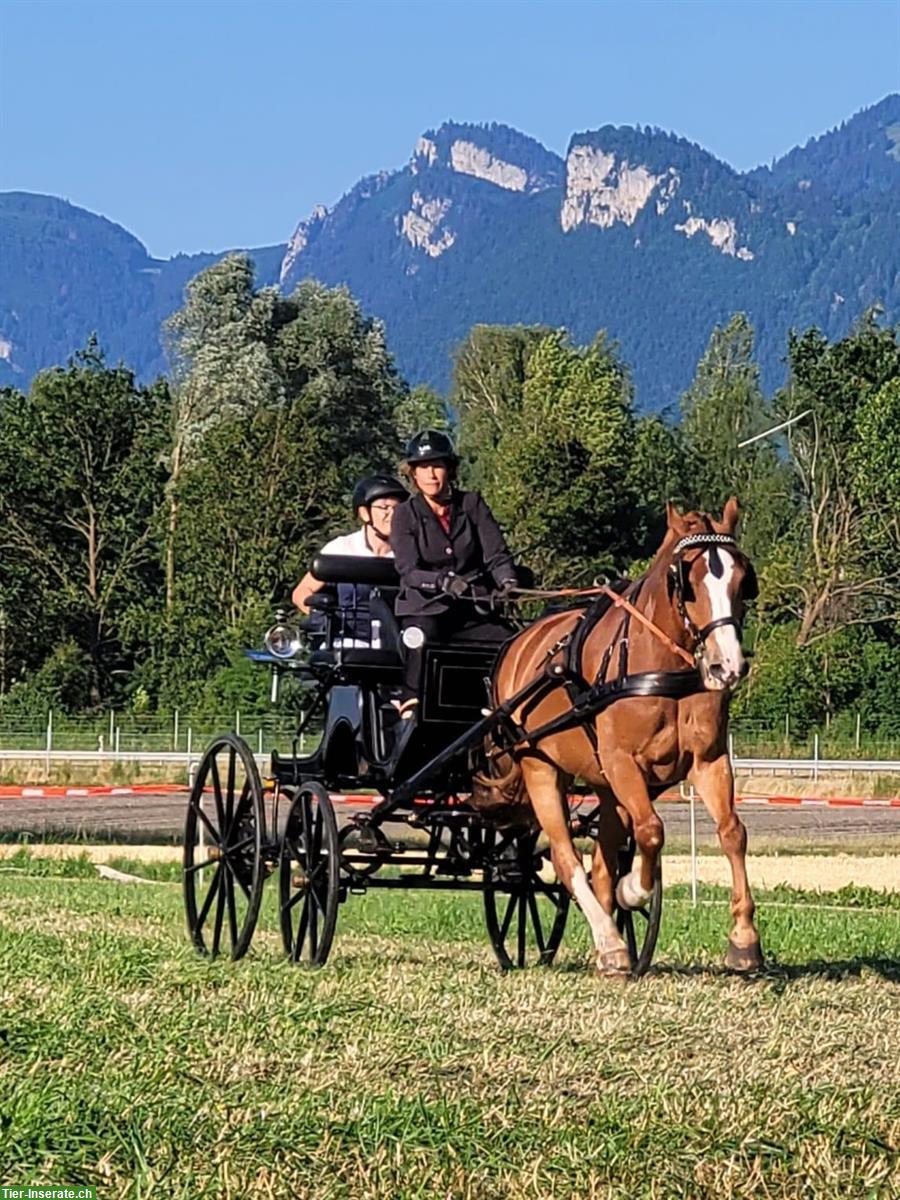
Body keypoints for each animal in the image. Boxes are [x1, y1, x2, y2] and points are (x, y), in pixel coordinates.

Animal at [482, 496, 763, 974]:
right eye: (685, 580)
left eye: (743, 578)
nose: (727, 664)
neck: (660, 670)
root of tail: (518, 645)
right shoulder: (622, 763)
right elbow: (650, 831)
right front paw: (634, 890)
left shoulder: (708, 762)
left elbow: (733, 832)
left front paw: (744, 939)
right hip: (541, 767)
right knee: (567, 858)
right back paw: (610, 942)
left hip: (604, 785)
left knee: (598, 864)